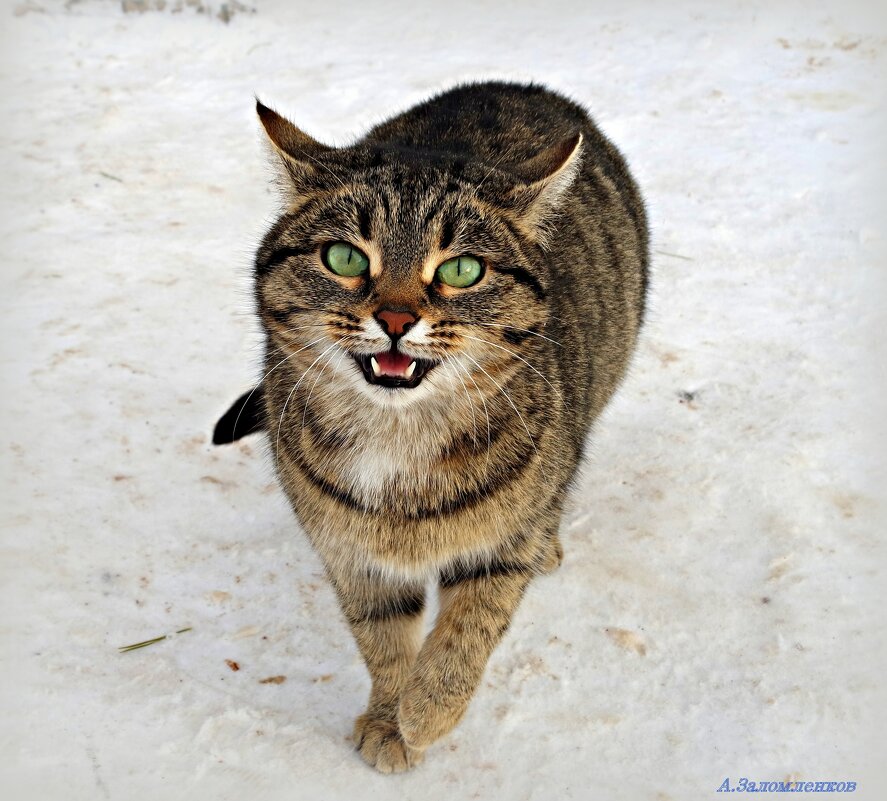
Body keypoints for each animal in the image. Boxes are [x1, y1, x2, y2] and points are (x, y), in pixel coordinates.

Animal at [212, 79, 648, 768]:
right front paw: (389, 716)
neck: (396, 446)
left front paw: (424, 716)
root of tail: (518, 84)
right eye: (344, 257)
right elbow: (382, 641)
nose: (395, 319)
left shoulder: (503, 545)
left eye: (461, 269)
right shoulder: (354, 556)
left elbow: (468, 633)